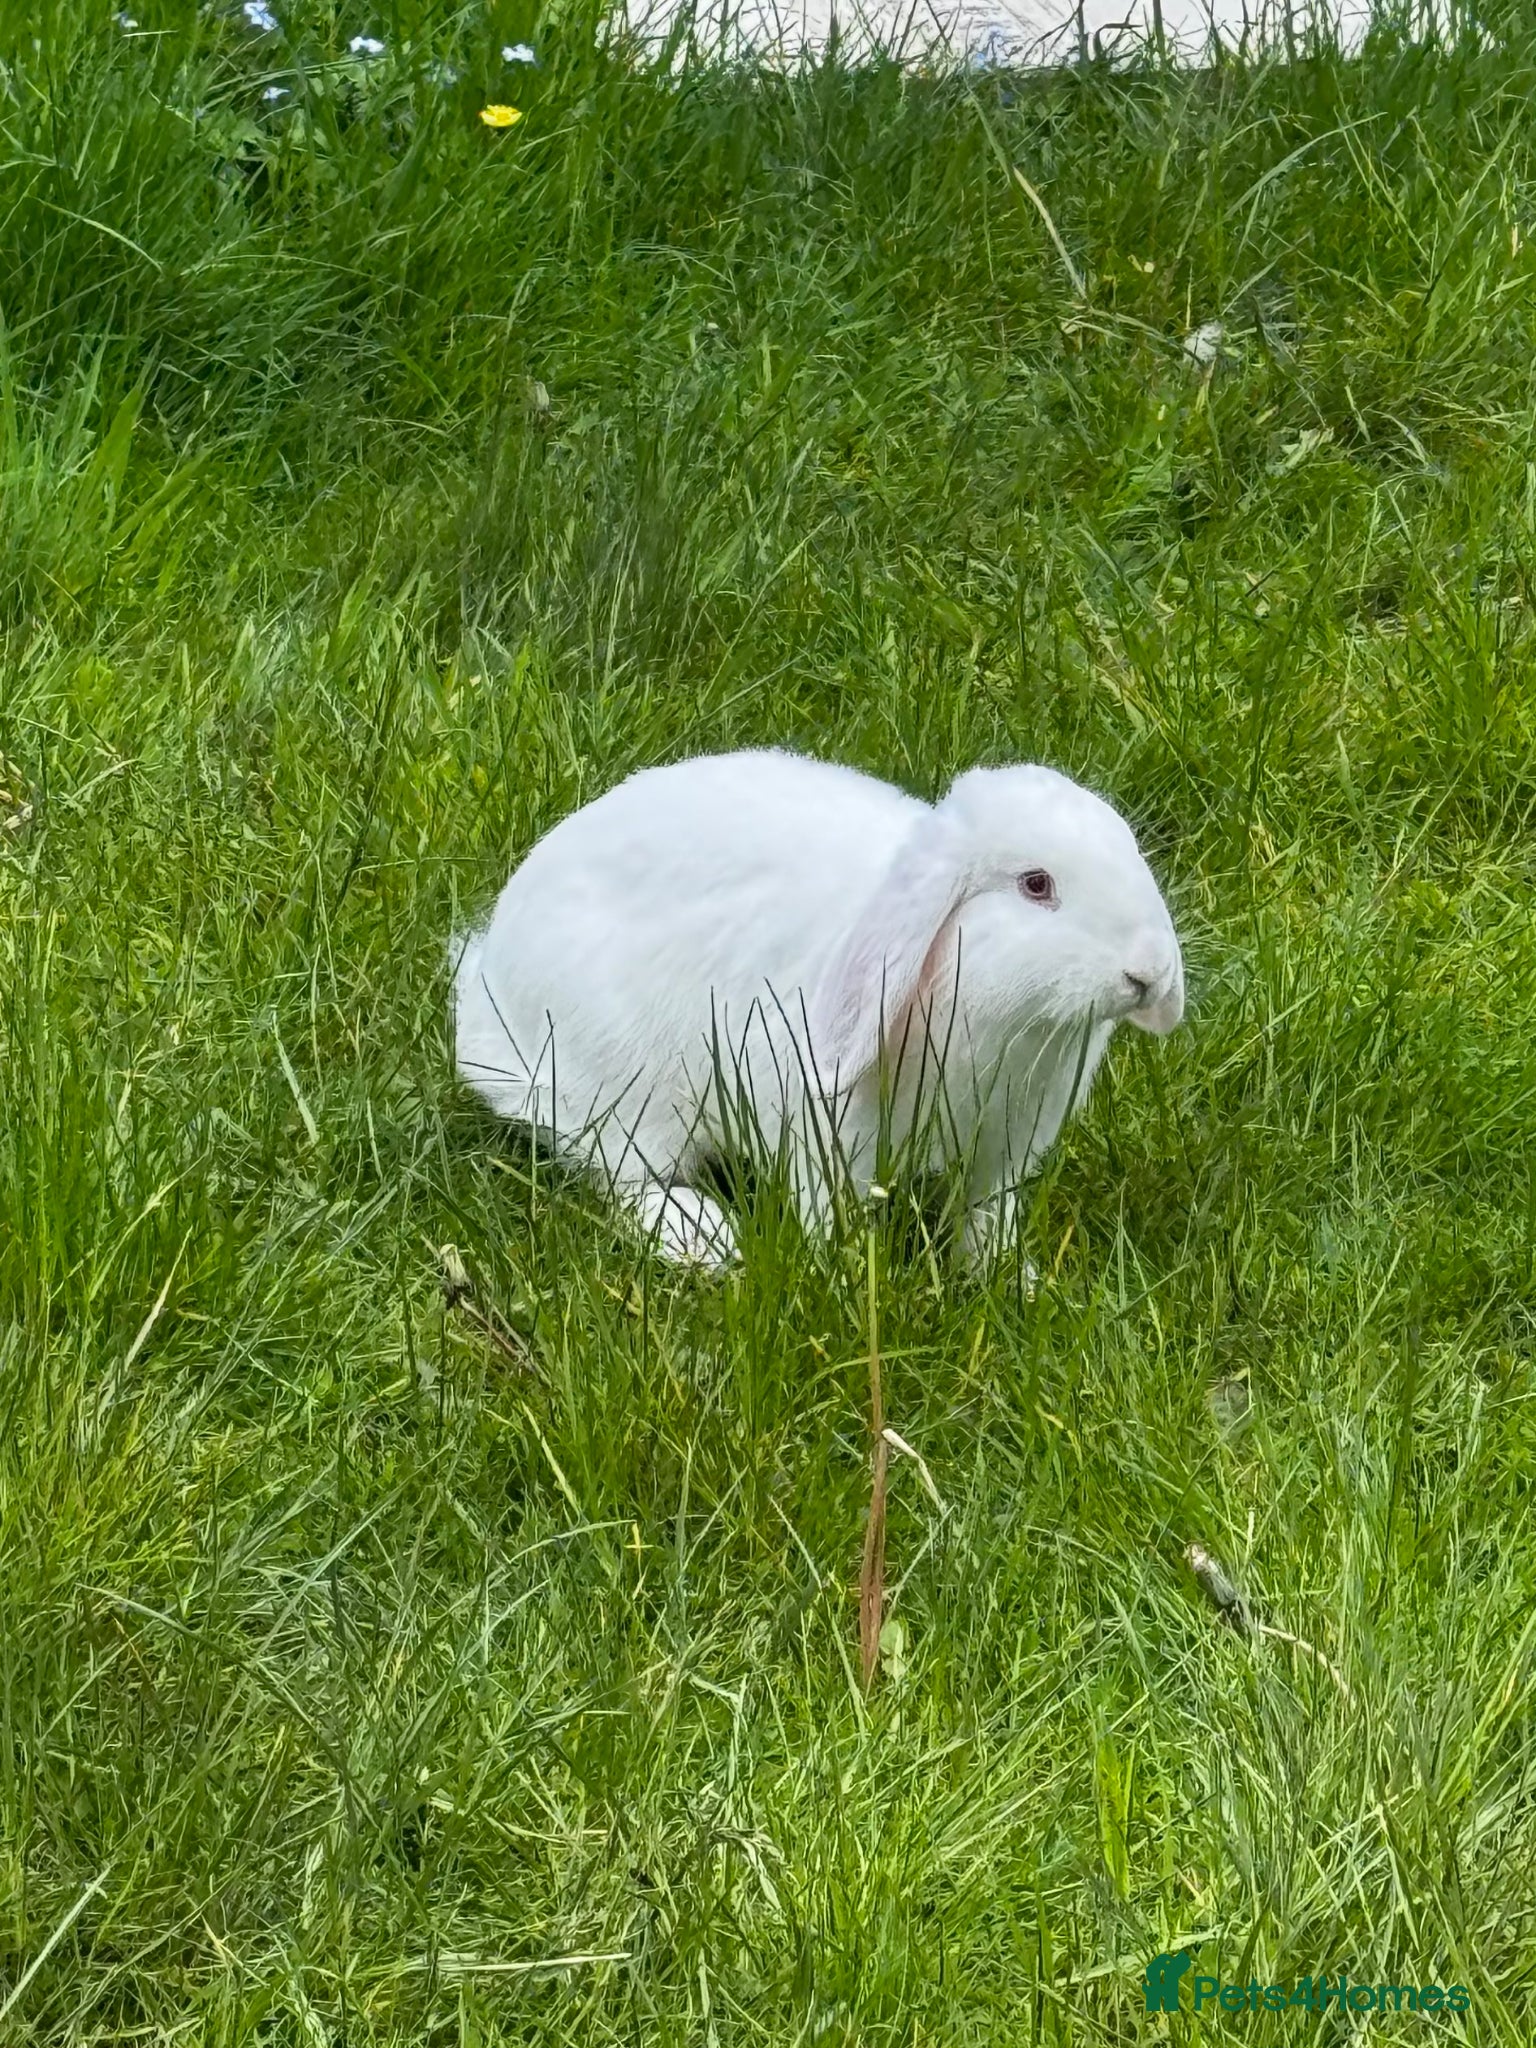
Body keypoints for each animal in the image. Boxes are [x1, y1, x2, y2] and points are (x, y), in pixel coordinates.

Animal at [453, 747, 1183, 1269]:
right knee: (624, 1177)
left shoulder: (1006, 1148)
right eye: (1036, 885)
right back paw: (704, 1240)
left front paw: (1007, 1279)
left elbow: (984, 1216)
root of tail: (492, 989)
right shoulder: (829, 1137)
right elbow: (827, 1213)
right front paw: (839, 1273)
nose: (1148, 974)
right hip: (624, 1087)